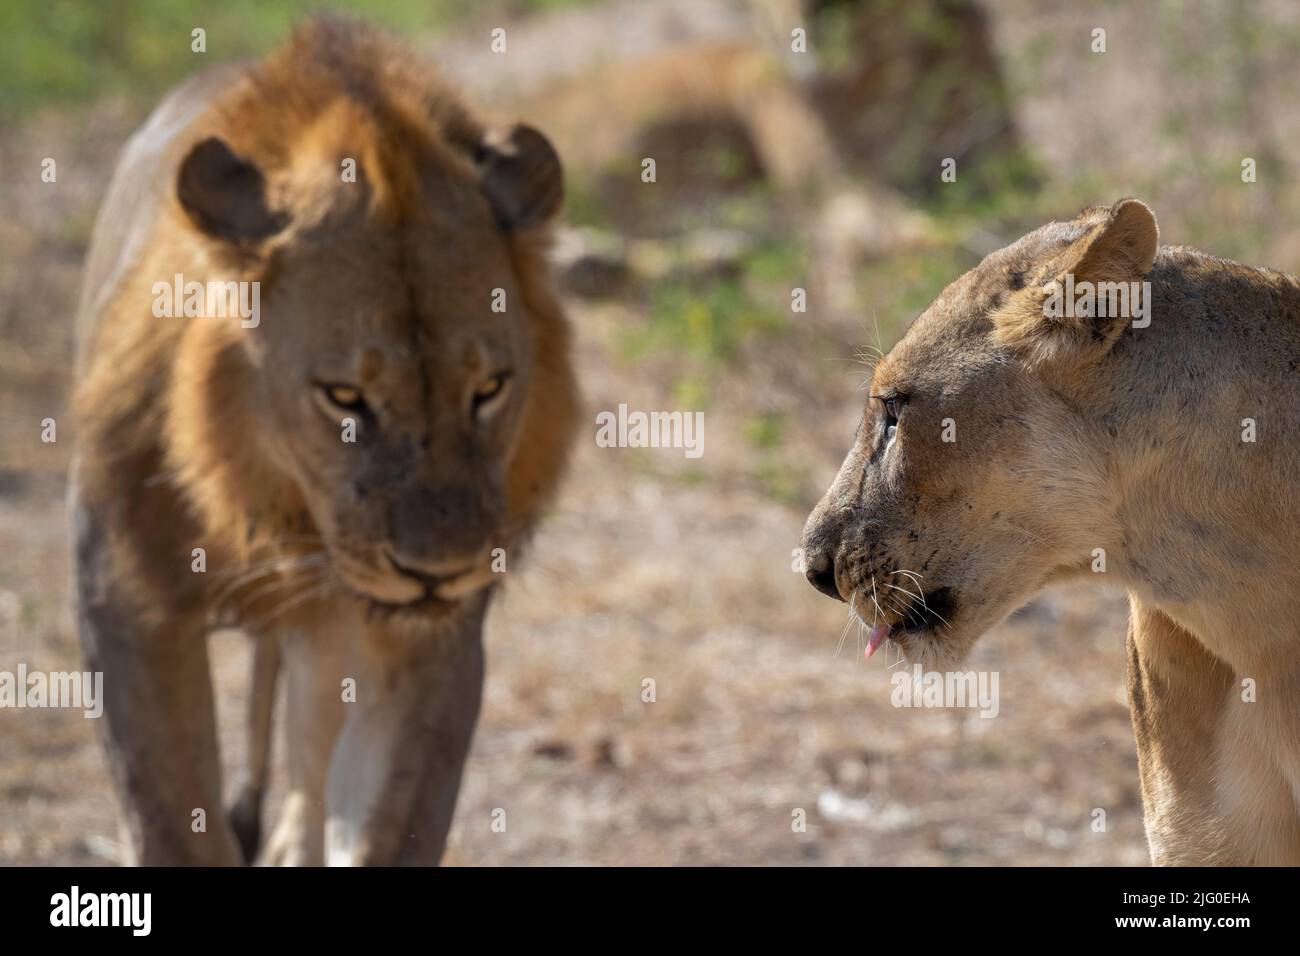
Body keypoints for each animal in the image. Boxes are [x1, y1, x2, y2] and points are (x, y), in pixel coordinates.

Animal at [71, 17, 578, 865]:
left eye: (489, 390)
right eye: (345, 398)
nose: (439, 571)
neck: (266, 502)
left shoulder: (427, 647)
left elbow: (383, 825)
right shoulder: (122, 598)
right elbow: (169, 817)